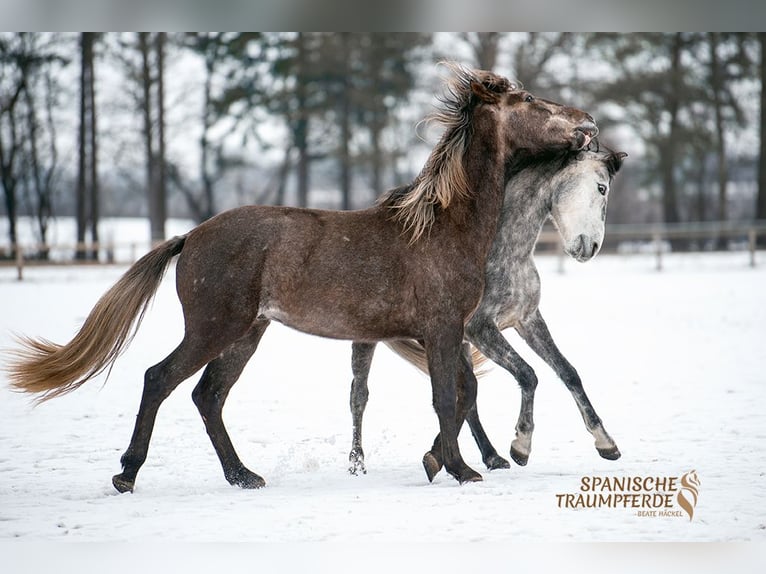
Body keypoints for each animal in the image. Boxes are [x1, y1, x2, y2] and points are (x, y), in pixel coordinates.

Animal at [6, 63, 598, 492]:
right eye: (532, 101)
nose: (588, 122)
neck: (443, 227)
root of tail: (191, 236)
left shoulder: (444, 333)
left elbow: (465, 391)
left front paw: (438, 460)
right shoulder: (443, 328)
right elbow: (448, 397)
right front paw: (460, 468)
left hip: (246, 333)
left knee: (207, 396)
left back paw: (243, 476)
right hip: (215, 328)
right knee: (161, 380)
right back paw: (128, 474)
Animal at [347, 143, 626, 480]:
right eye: (601, 188)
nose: (591, 247)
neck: (503, 250)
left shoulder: (527, 320)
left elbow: (568, 372)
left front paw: (606, 442)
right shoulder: (480, 329)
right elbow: (528, 374)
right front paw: (521, 445)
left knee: (468, 396)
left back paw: (489, 457)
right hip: (372, 337)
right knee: (359, 394)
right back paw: (357, 463)